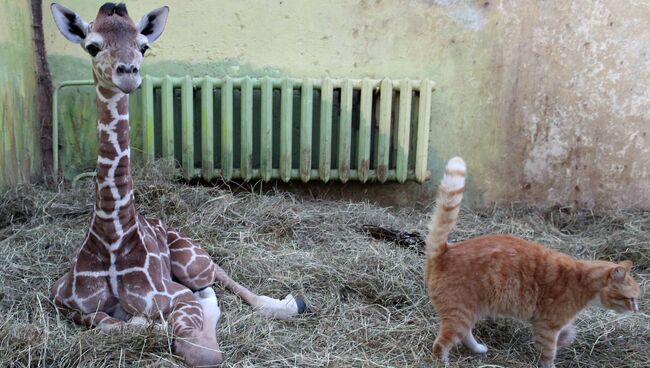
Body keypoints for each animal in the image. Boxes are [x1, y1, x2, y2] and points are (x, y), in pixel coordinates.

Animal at [49, 2, 308, 366]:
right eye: (92, 46)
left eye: (144, 46)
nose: (128, 73)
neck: (112, 236)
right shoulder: (61, 299)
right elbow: (117, 324)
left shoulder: (178, 297)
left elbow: (198, 348)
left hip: (192, 260)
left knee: (217, 272)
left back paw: (286, 304)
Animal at [422, 157, 640, 366]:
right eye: (630, 298)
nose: (637, 309)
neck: (582, 280)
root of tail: (445, 250)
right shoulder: (547, 326)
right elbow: (549, 354)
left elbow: (566, 334)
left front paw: (567, 339)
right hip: (459, 314)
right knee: (440, 345)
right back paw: (444, 363)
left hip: (470, 312)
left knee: (465, 333)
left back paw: (478, 349)